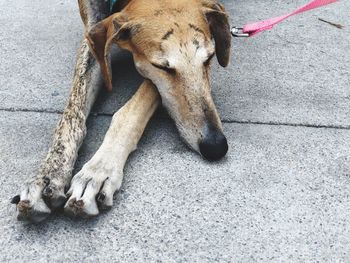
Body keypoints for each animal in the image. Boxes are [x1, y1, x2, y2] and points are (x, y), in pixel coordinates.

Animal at [12, 0, 232, 223]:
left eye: (210, 58)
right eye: (162, 67)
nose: (216, 146)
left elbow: (131, 111)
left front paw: (98, 171)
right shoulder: (94, 39)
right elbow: (72, 115)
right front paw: (48, 175)